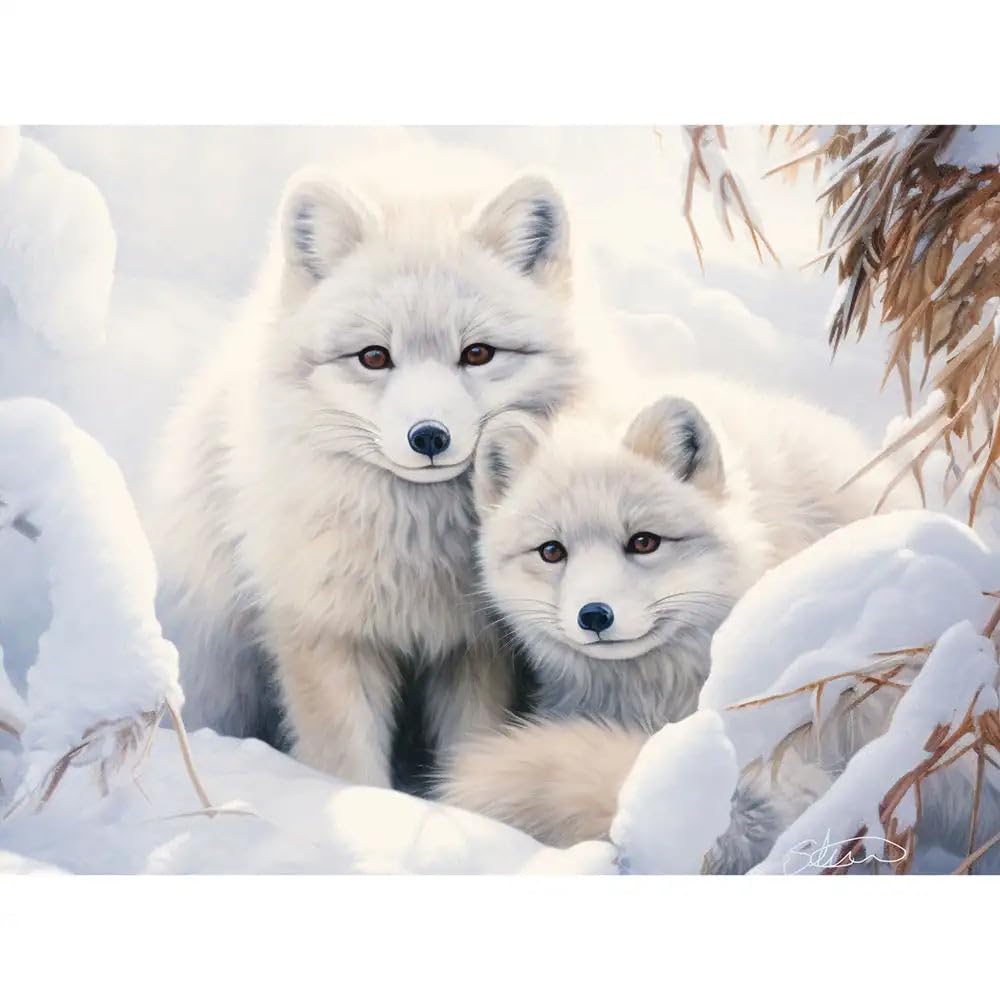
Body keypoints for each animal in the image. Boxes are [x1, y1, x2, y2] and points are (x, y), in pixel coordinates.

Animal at [149, 149, 583, 790]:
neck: (416, 553)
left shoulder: (473, 648)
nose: (429, 437)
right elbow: (346, 763)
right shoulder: (325, 632)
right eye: (374, 357)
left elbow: (471, 744)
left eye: (477, 353)